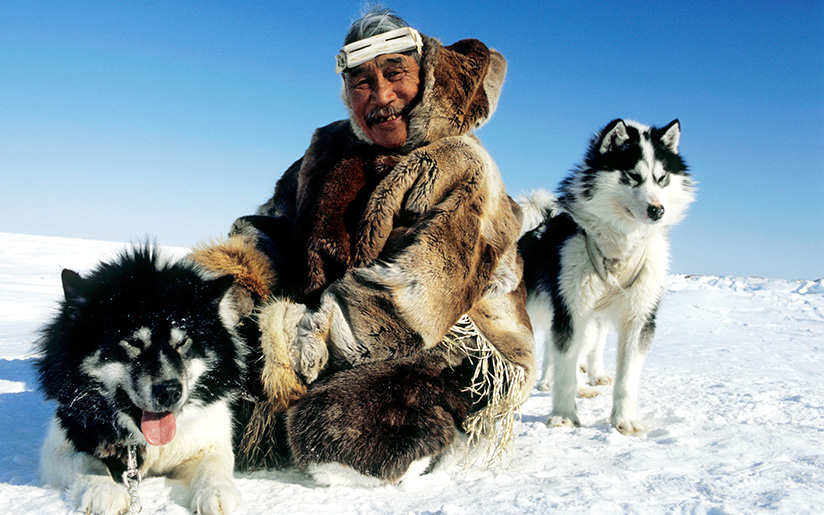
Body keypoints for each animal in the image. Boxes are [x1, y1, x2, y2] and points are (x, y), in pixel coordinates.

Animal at [35, 248, 246, 512]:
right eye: (133, 342)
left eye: (181, 342)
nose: (170, 391)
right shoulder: (60, 446)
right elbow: (86, 461)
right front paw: (103, 489)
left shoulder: (208, 440)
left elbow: (213, 463)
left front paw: (216, 493)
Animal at [520, 120, 696, 436]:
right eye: (633, 176)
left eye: (661, 178)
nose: (657, 210)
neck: (620, 246)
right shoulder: (571, 310)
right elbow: (565, 370)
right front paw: (564, 415)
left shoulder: (639, 316)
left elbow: (627, 378)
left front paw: (625, 420)